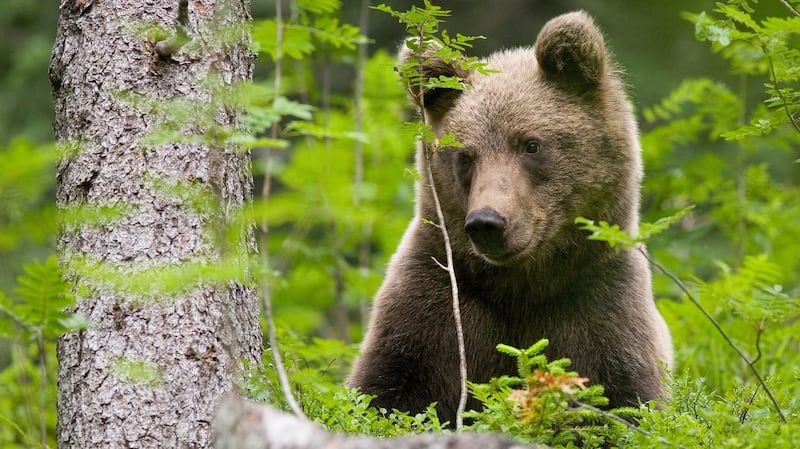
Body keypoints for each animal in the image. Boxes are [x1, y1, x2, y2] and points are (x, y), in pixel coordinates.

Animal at [347, 11, 673, 425]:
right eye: (465, 156)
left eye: (531, 144)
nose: (487, 222)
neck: (521, 285)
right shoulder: (436, 305)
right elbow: (386, 390)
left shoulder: (599, 304)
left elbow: (624, 400)